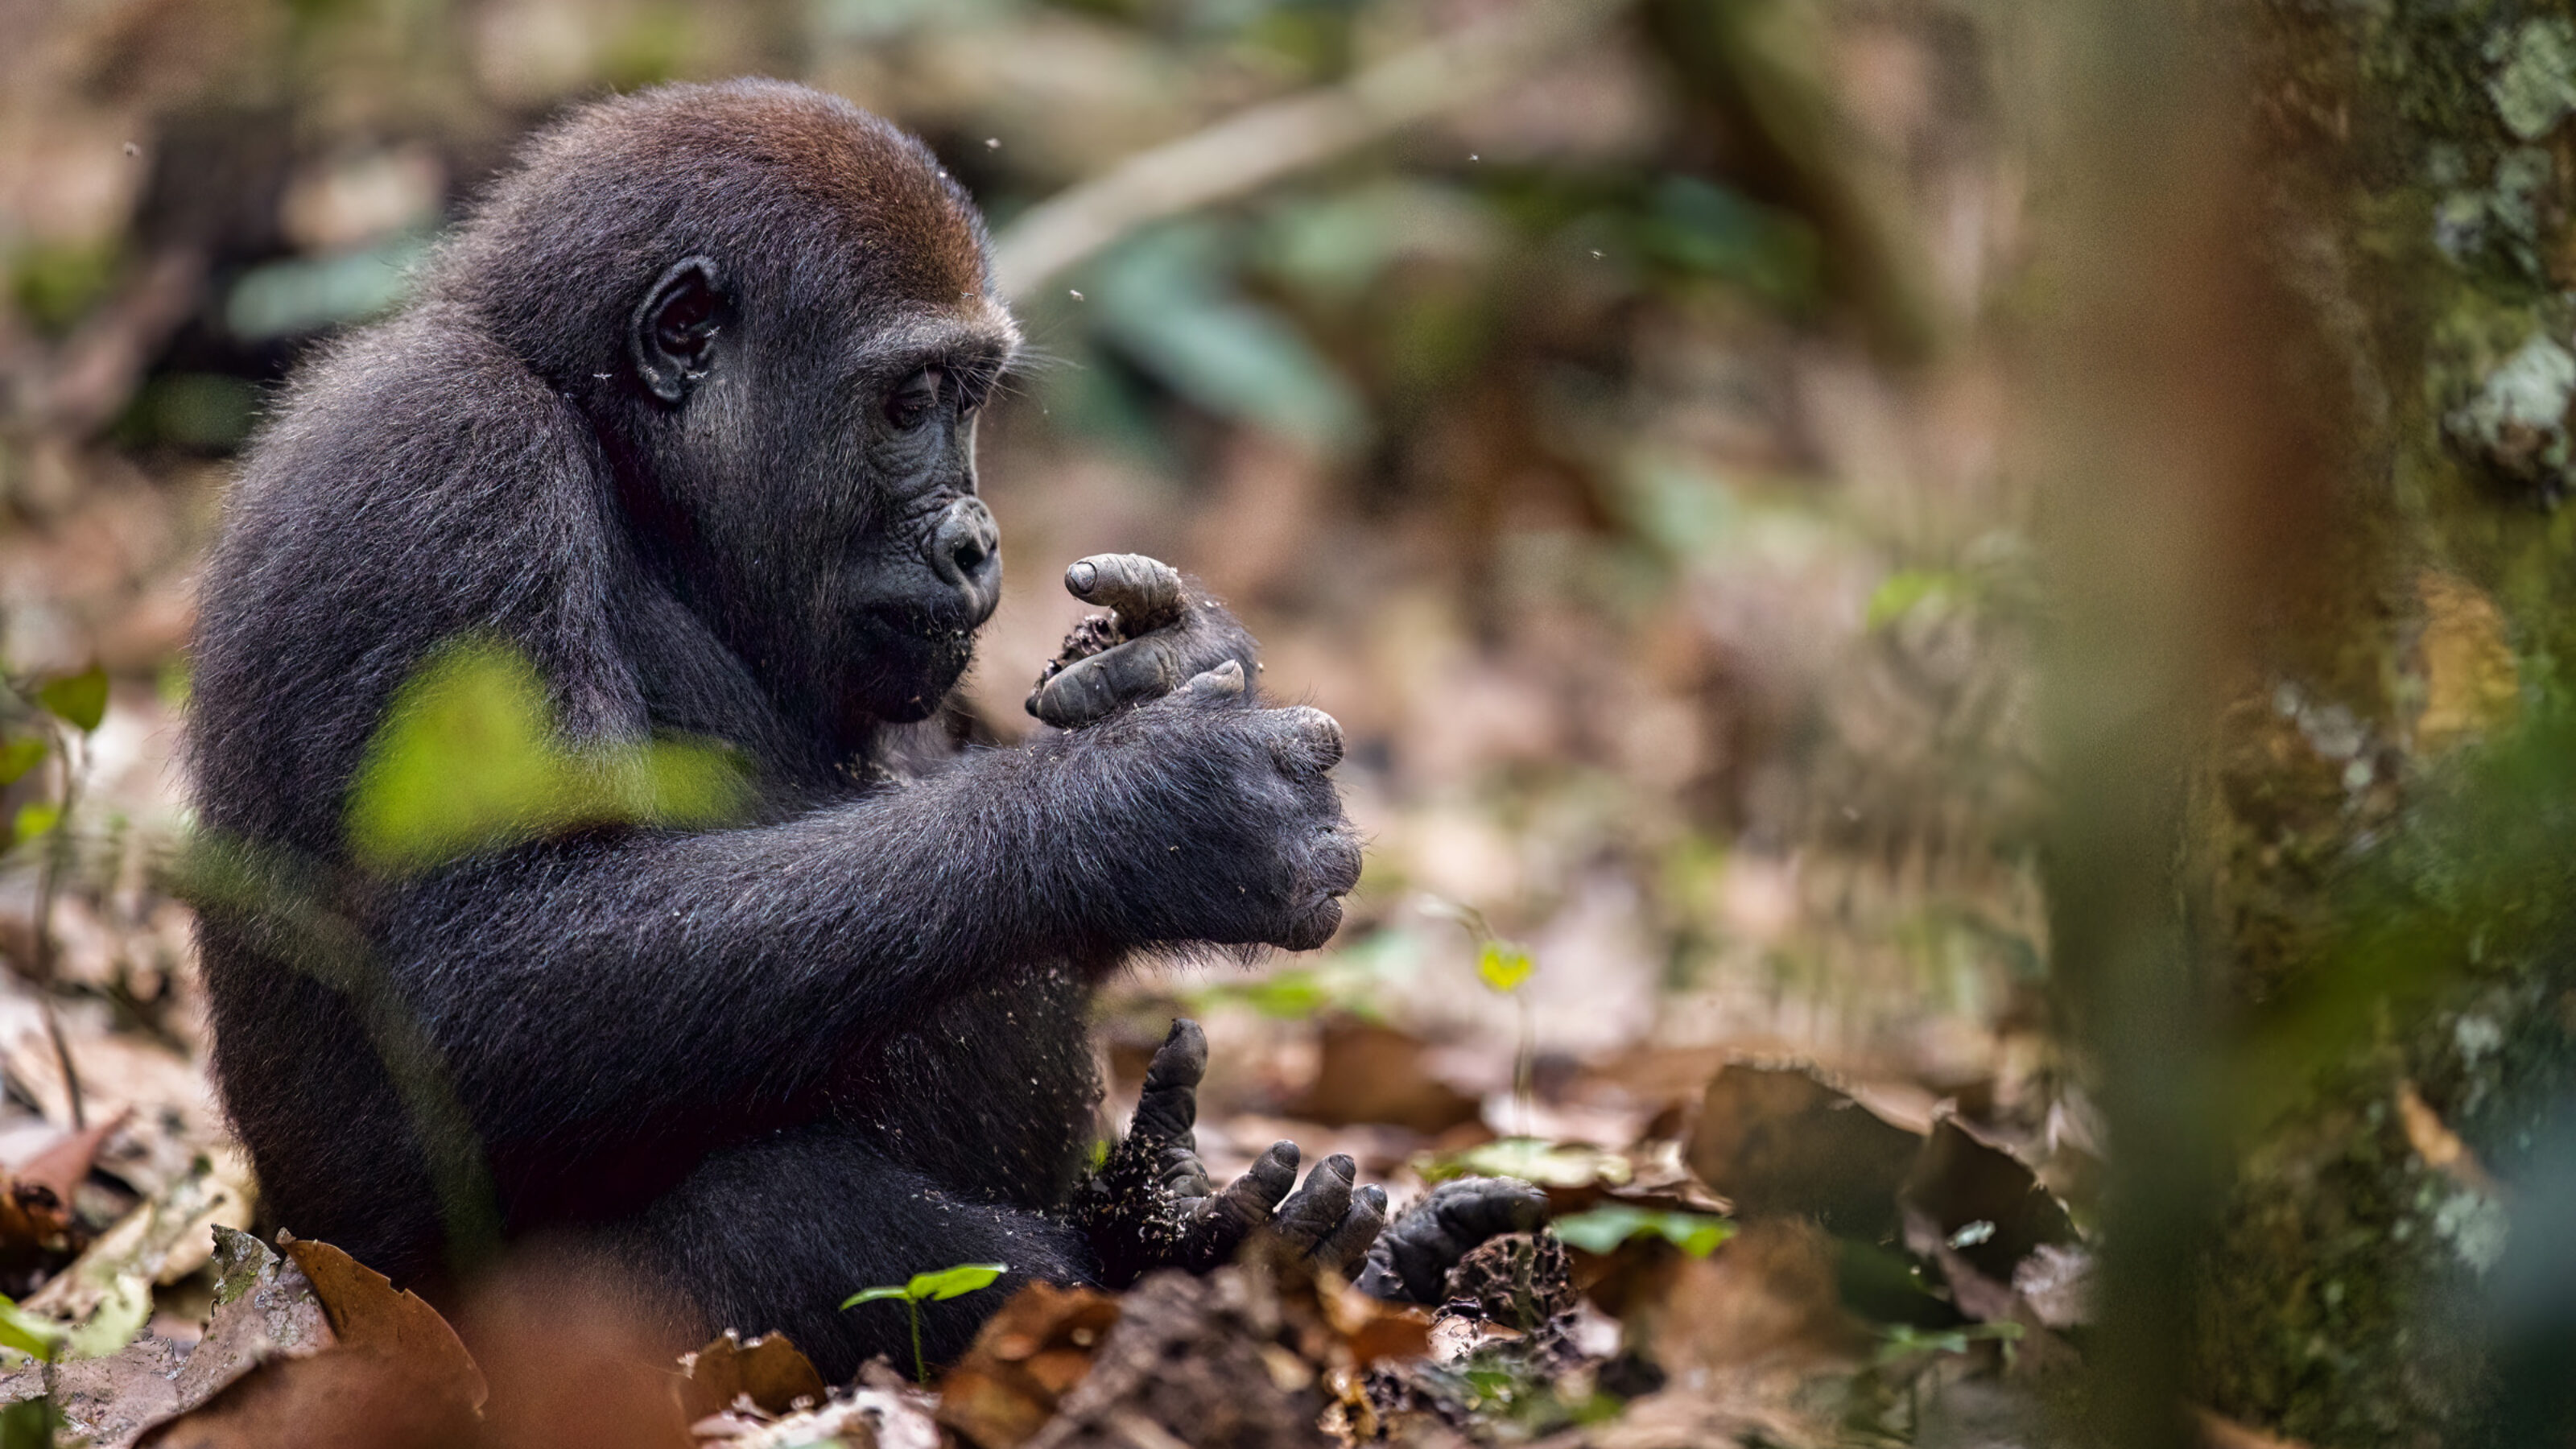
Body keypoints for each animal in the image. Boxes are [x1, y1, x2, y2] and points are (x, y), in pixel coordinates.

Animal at [183, 79, 1540, 1379]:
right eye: (911, 400)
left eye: (968, 397)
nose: (979, 542)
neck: (606, 435)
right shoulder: (450, 469)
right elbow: (480, 976)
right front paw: (1150, 812)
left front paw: (1172, 662)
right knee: (759, 1212)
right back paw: (1193, 1270)